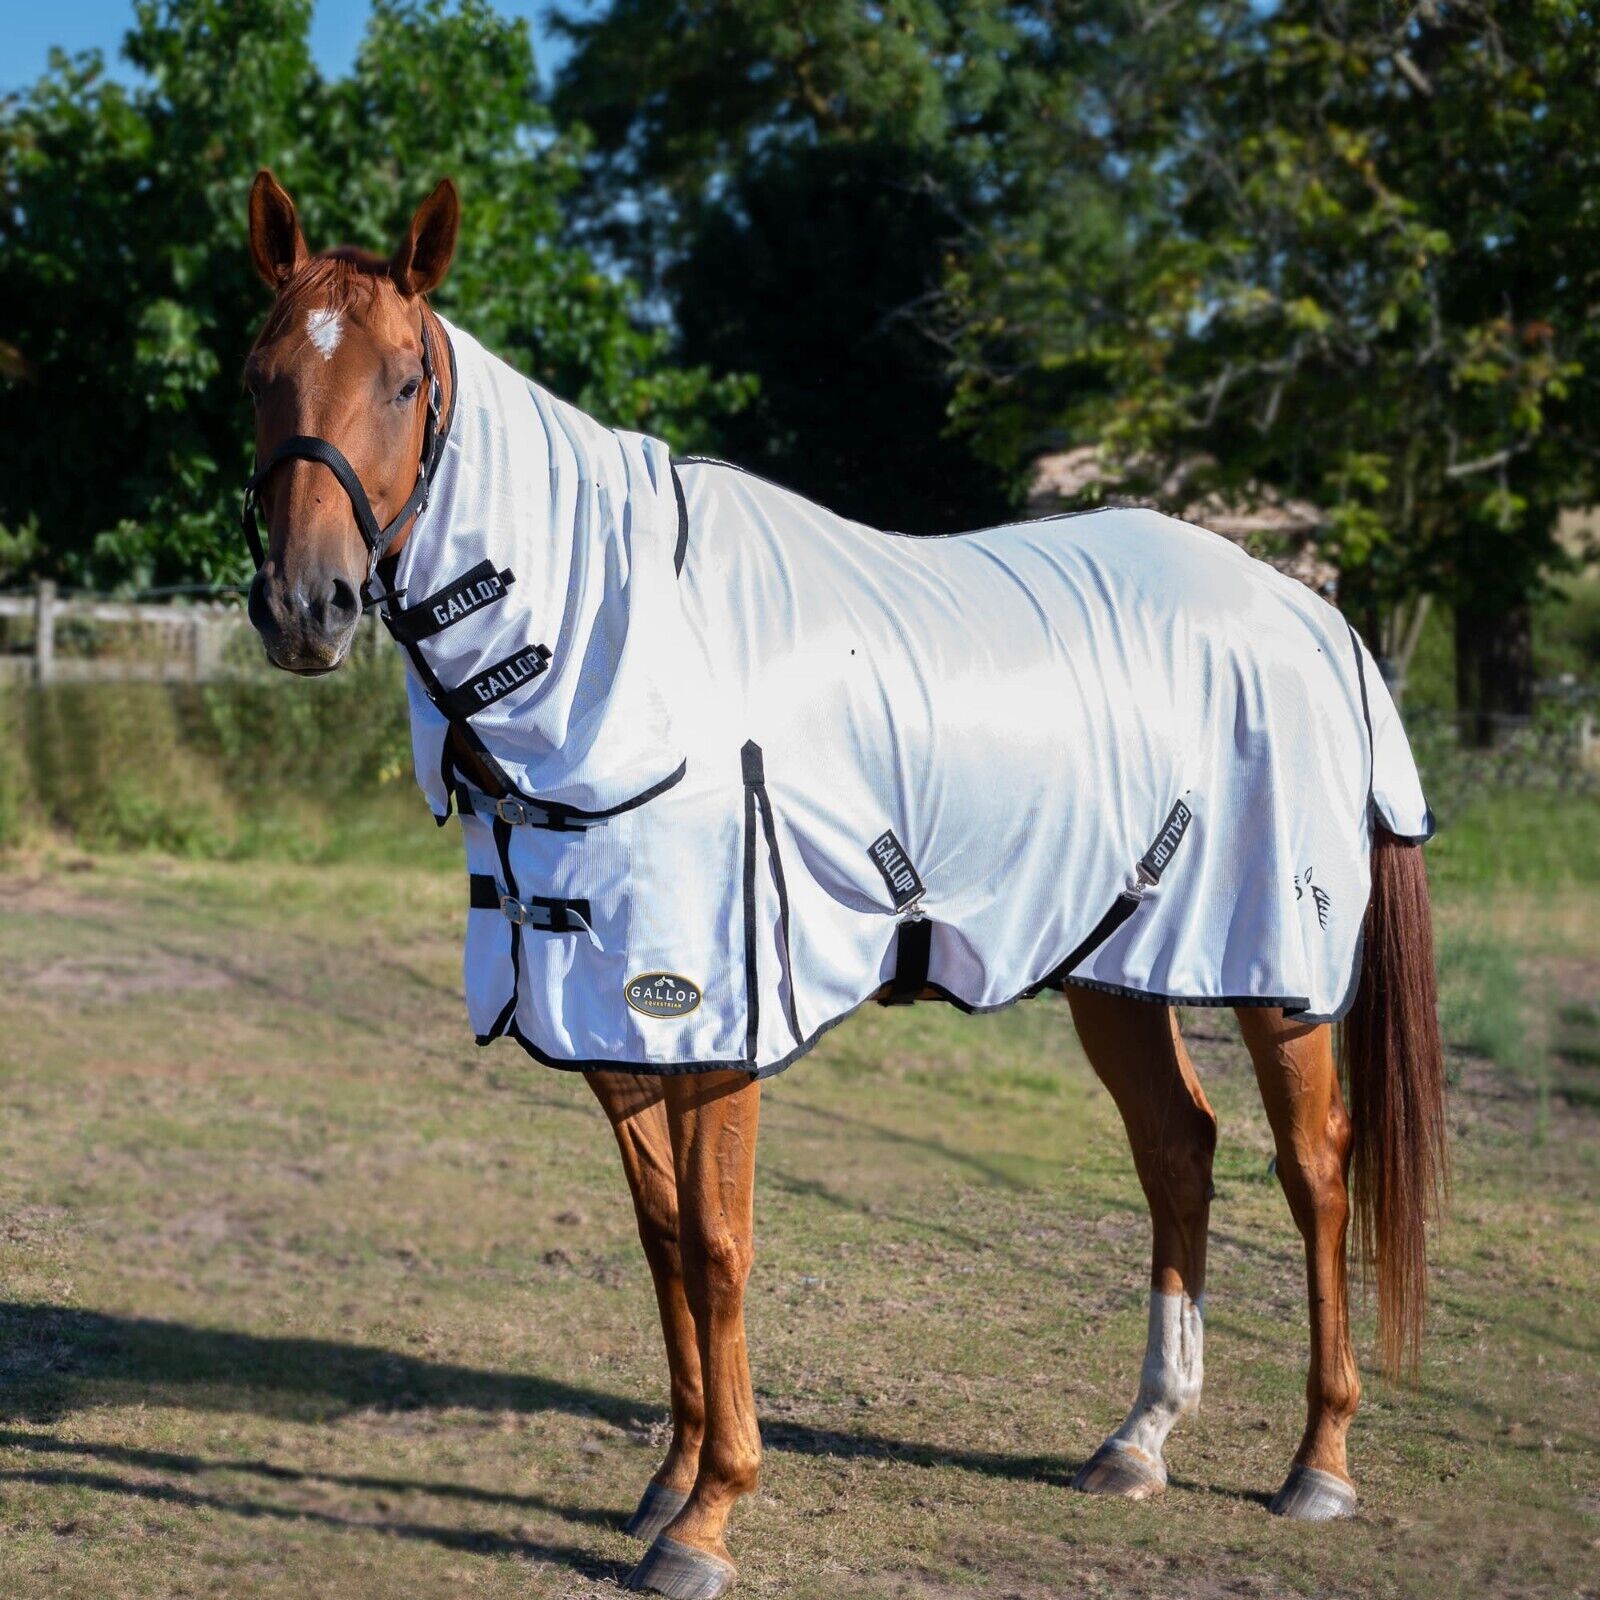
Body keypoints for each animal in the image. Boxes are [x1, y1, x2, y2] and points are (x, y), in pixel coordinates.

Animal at [240, 171, 1447, 1599]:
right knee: (1177, 1151)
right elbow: (660, 1237)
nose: (305, 608)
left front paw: (709, 1516)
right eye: (261, 375)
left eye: (404, 382)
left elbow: (719, 1244)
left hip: (1276, 972)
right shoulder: (610, 1016)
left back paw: (1319, 1462)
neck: (626, 651)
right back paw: (1138, 1439)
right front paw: (666, 1485)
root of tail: (1309, 613)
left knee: (1314, 1171)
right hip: (1111, 961)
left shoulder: (711, 1014)